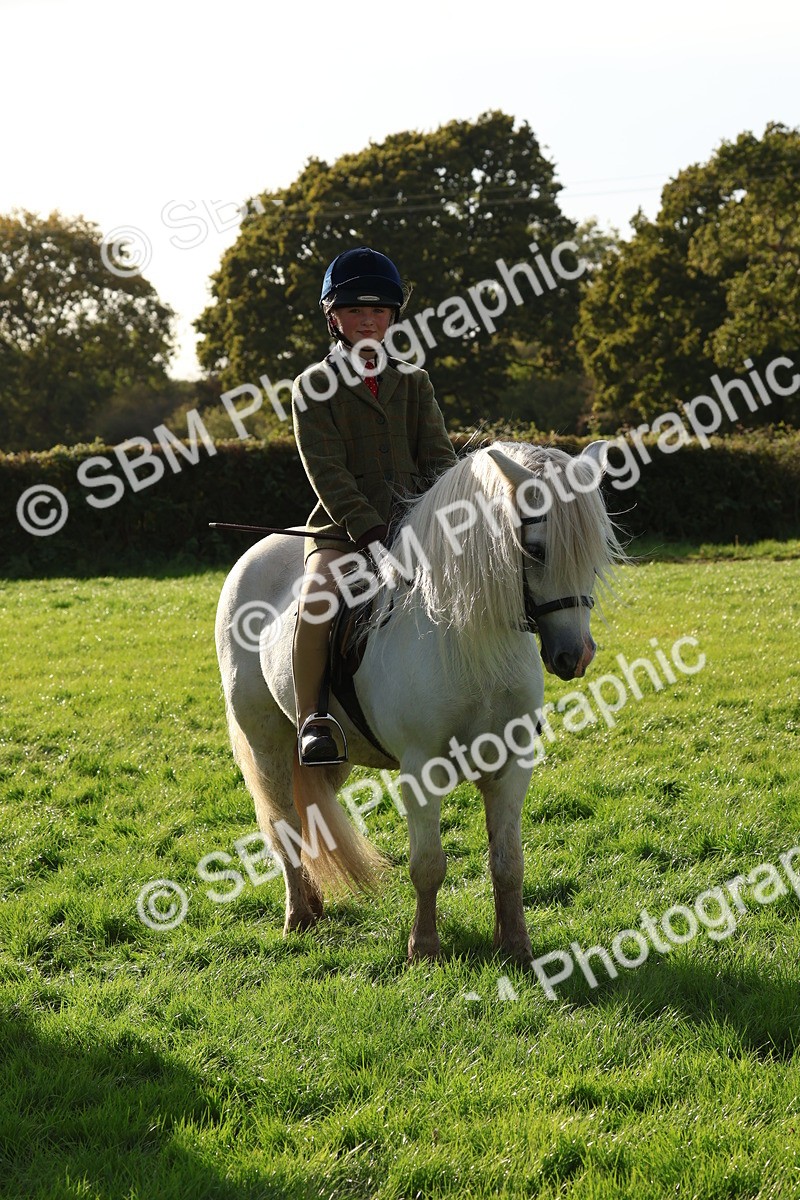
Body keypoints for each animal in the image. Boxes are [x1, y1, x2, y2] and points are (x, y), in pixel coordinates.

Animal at [214, 440, 626, 965]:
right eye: (535, 549)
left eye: (593, 552)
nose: (575, 656)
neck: (468, 638)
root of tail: (255, 552)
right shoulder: (421, 769)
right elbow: (428, 864)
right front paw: (424, 948)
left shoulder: (512, 765)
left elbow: (508, 862)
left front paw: (515, 946)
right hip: (264, 737)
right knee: (282, 823)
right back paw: (299, 916)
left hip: (333, 757)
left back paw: (313, 903)